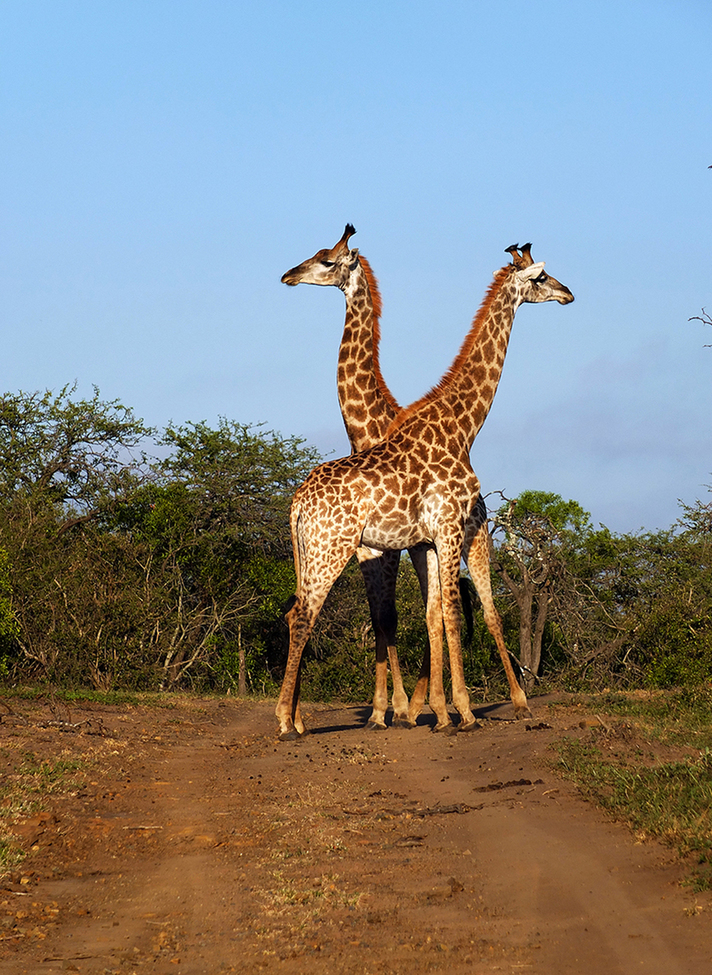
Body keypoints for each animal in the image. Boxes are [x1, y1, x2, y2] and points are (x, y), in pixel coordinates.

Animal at [276, 243, 574, 740]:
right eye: (541, 278)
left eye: (325, 258)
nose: (568, 293)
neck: (461, 427)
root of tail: (298, 500)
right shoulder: (442, 532)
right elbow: (439, 613)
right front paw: (456, 712)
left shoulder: (429, 540)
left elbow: (433, 615)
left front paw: (431, 710)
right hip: (333, 549)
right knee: (303, 615)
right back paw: (285, 720)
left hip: (324, 551)